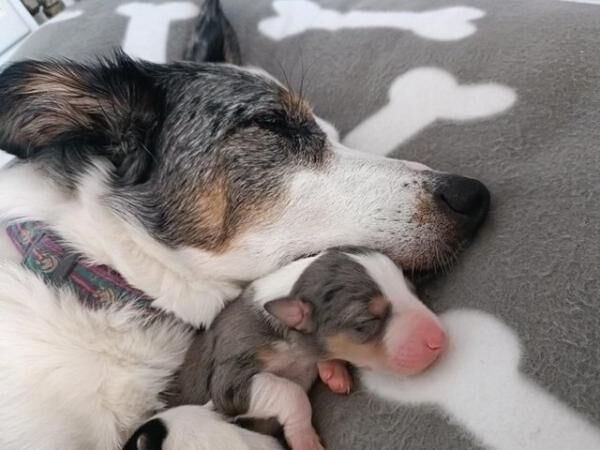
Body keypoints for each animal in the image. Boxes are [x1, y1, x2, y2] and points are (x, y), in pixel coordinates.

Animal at [126, 246, 446, 450]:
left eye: (413, 291)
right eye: (366, 322)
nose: (439, 340)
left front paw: (333, 371)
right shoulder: (230, 373)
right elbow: (290, 392)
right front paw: (305, 440)